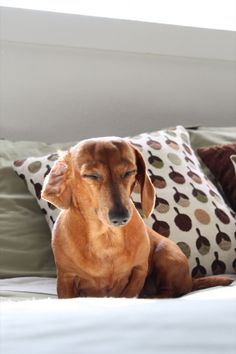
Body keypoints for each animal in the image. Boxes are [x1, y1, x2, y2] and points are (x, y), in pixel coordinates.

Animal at [41, 137, 233, 298]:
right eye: (91, 175)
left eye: (129, 172)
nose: (120, 217)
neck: (106, 238)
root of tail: (190, 281)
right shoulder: (66, 279)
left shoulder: (139, 270)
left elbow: (130, 292)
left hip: (167, 255)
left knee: (169, 292)